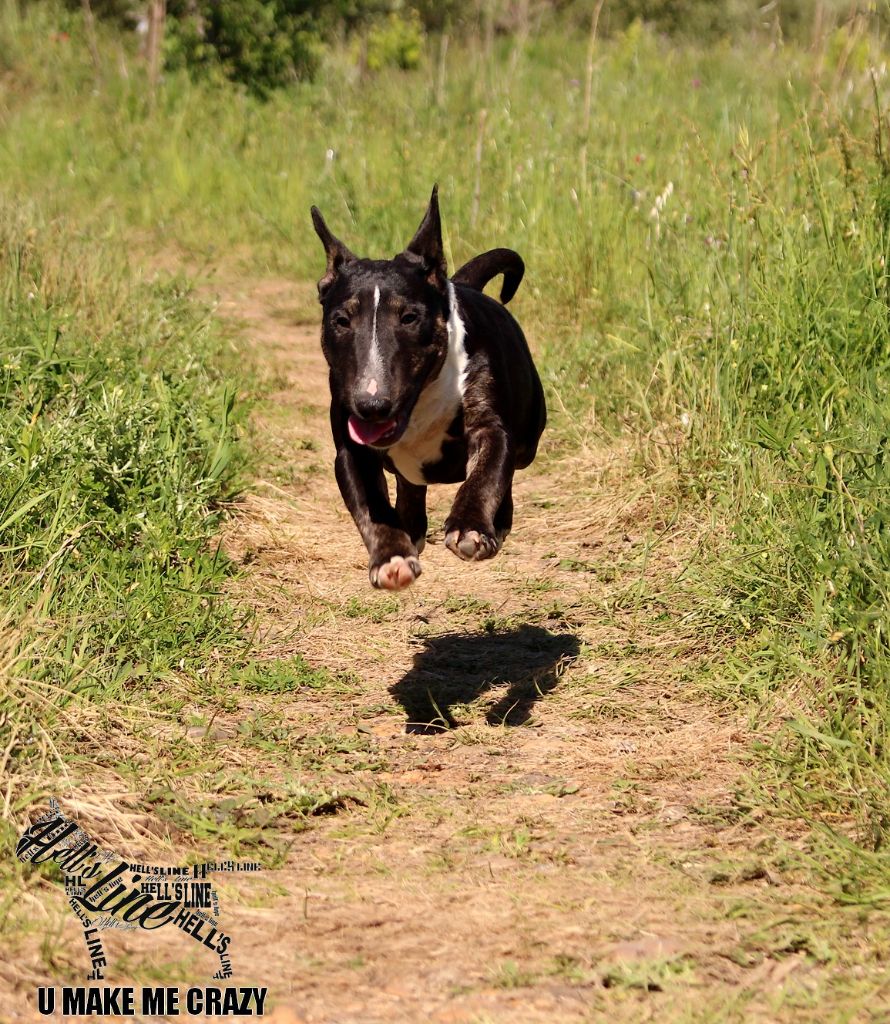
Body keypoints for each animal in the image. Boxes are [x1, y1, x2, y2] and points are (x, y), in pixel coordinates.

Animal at [311, 186, 546, 590]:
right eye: (341, 320)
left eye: (409, 317)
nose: (372, 405)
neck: (421, 401)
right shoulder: (350, 448)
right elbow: (370, 506)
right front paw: (391, 558)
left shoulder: (489, 425)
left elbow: (487, 473)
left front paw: (470, 528)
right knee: (409, 488)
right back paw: (411, 526)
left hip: (528, 438)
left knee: (510, 468)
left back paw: (498, 522)